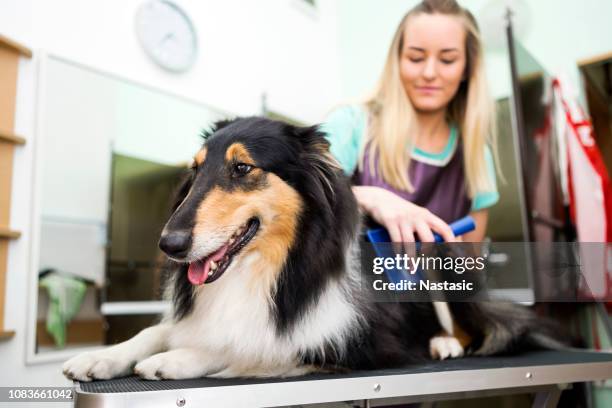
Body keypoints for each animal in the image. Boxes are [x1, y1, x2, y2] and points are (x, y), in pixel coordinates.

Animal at [63, 116, 564, 380]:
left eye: (242, 168)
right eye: (195, 170)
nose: (169, 244)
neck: (263, 270)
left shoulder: (352, 341)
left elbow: (250, 346)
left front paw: (176, 359)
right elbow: (155, 332)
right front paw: (100, 357)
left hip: (432, 258)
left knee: (466, 327)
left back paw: (445, 344)